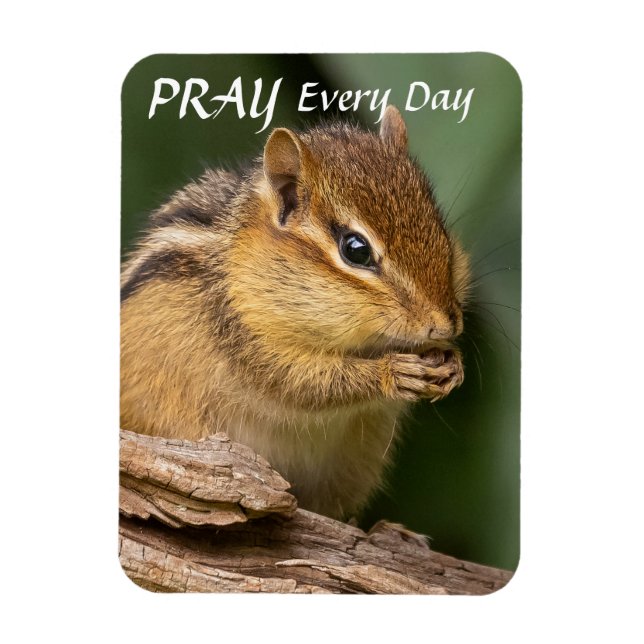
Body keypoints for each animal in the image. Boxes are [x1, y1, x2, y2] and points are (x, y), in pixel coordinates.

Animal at [121, 105, 470, 520]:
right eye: (355, 249)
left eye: (441, 230)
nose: (445, 324)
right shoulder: (241, 335)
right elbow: (299, 382)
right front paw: (392, 372)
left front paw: (454, 364)